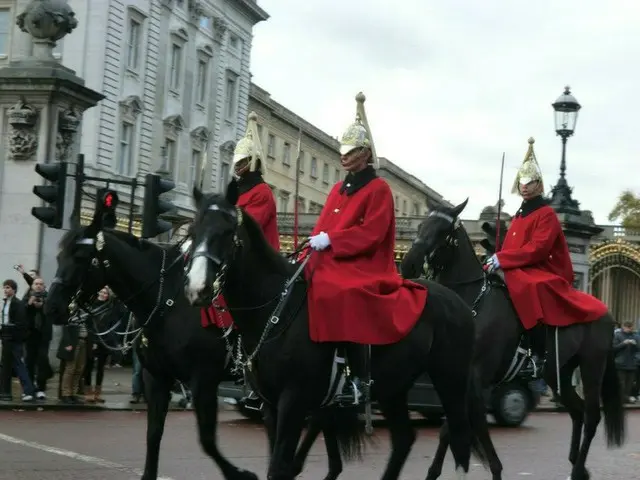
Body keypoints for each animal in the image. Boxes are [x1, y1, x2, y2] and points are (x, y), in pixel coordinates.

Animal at [44, 214, 260, 480]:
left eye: (81, 256)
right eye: (59, 256)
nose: (51, 307)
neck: (167, 302)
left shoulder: (203, 379)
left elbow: (207, 439)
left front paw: (241, 474)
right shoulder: (156, 376)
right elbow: (153, 434)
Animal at [182, 186, 482, 480]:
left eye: (227, 231)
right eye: (193, 232)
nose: (198, 289)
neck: (275, 310)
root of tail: (458, 301)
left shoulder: (293, 400)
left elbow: (279, 467)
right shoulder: (270, 404)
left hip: (450, 379)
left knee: (459, 436)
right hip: (393, 387)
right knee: (404, 440)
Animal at [400, 199, 624, 480]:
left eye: (443, 231)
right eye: (421, 226)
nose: (408, 265)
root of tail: (607, 311)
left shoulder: (479, 377)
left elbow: (461, 425)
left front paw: (495, 469)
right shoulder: (461, 377)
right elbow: (450, 427)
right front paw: (433, 472)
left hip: (592, 365)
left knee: (592, 415)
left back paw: (577, 468)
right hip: (558, 372)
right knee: (578, 411)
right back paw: (577, 465)